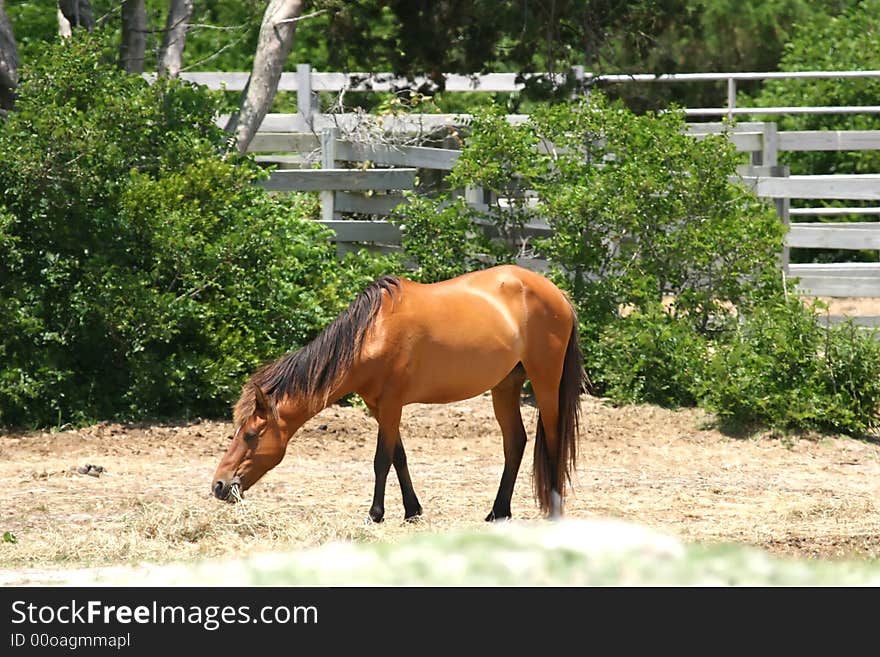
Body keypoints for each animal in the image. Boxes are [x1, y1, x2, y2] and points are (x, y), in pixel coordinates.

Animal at [211, 264, 588, 520]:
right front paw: (412, 510)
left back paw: (554, 509)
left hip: (545, 379)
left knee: (553, 439)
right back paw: (498, 512)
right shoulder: (379, 406)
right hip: (505, 384)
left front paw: (375, 513)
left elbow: (381, 459)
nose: (219, 485)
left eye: (250, 434)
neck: (372, 334)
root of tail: (557, 294)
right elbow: (398, 456)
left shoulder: (393, 404)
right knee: (515, 442)